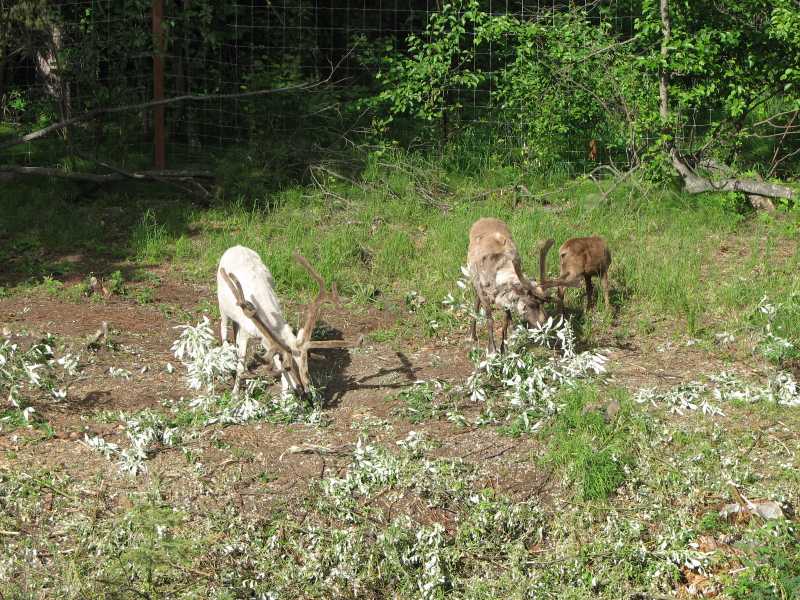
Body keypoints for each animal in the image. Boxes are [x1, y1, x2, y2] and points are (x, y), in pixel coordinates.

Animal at [217, 245, 359, 397]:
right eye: (288, 367)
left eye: (305, 363)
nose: (304, 391)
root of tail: (236, 246)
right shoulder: (245, 332)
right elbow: (241, 366)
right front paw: (235, 393)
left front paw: (285, 394)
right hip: (222, 306)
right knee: (223, 330)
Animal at [467, 218, 554, 354]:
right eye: (531, 304)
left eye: (543, 303)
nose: (544, 324)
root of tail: (484, 219)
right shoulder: (483, 292)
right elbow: (489, 319)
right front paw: (492, 350)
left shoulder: (506, 300)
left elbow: (506, 321)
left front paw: (505, 348)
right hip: (474, 280)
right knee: (476, 301)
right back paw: (472, 335)